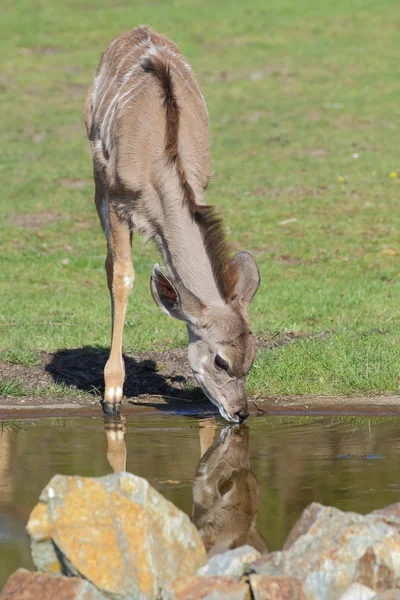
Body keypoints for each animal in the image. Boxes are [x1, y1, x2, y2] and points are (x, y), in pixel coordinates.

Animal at [85, 25, 260, 424]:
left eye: (251, 358)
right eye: (221, 360)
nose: (240, 413)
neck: (161, 158)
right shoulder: (117, 202)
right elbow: (123, 277)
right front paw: (113, 394)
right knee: (110, 264)